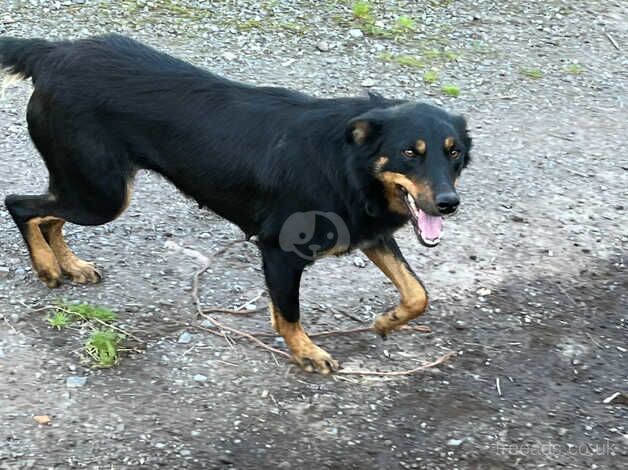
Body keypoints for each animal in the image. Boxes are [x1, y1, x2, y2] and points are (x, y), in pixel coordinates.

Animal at [1, 35, 472, 372]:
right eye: (409, 152)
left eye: (453, 152)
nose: (448, 204)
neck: (348, 163)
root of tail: (53, 52)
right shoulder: (279, 249)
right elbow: (289, 312)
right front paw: (305, 351)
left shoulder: (369, 233)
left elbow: (418, 293)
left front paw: (386, 320)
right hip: (101, 194)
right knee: (21, 205)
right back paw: (47, 267)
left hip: (88, 185)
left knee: (49, 216)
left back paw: (70, 264)